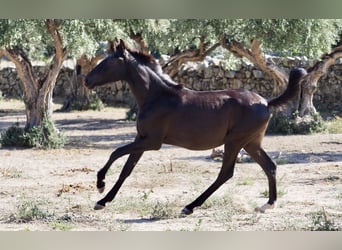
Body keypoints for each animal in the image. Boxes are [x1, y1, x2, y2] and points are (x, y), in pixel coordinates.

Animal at [85, 39, 308, 215]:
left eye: (106, 63)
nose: (86, 80)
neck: (156, 97)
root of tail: (266, 103)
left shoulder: (152, 142)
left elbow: (115, 152)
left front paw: (100, 185)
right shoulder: (141, 139)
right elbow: (126, 169)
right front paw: (102, 201)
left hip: (235, 141)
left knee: (226, 173)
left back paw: (190, 206)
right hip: (251, 143)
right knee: (270, 166)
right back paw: (268, 205)